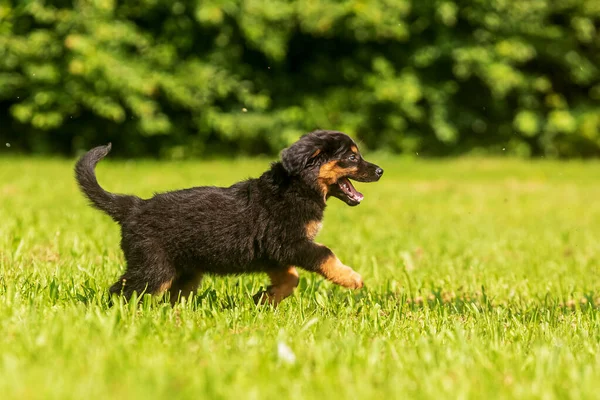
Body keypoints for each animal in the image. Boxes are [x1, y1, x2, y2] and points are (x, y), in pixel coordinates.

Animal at [76, 130, 384, 304]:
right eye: (352, 158)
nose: (380, 170)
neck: (297, 186)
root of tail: (134, 206)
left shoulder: (272, 253)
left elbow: (291, 279)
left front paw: (265, 298)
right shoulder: (288, 243)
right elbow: (325, 254)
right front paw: (352, 278)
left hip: (185, 270)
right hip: (153, 267)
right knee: (122, 291)